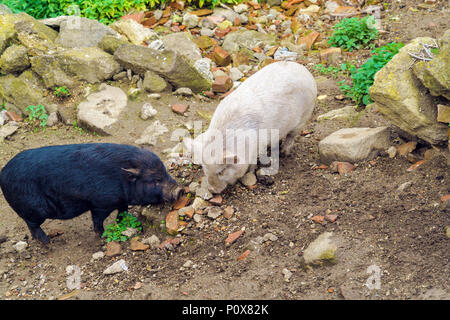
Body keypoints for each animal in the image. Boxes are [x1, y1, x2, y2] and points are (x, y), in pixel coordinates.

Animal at [0, 144, 183, 244]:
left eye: (165, 172)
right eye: (155, 180)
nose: (180, 190)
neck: (121, 177)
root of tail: (3, 172)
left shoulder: (120, 200)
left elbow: (123, 211)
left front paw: (124, 224)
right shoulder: (100, 203)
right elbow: (97, 220)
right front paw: (102, 235)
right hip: (32, 209)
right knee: (32, 225)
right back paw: (47, 242)